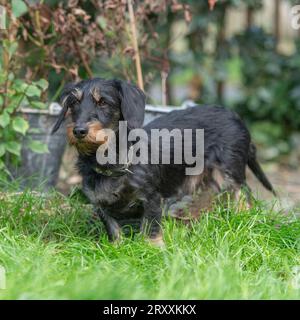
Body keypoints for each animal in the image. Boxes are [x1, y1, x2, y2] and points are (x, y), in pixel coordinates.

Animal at [52, 78, 276, 248]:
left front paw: (153, 249)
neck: (111, 162)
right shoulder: (100, 204)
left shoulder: (151, 198)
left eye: (103, 103)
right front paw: (117, 248)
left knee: (243, 198)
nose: (79, 131)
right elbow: (113, 229)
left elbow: (150, 228)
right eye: (73, 103)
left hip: (229, 173)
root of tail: (236, 118)